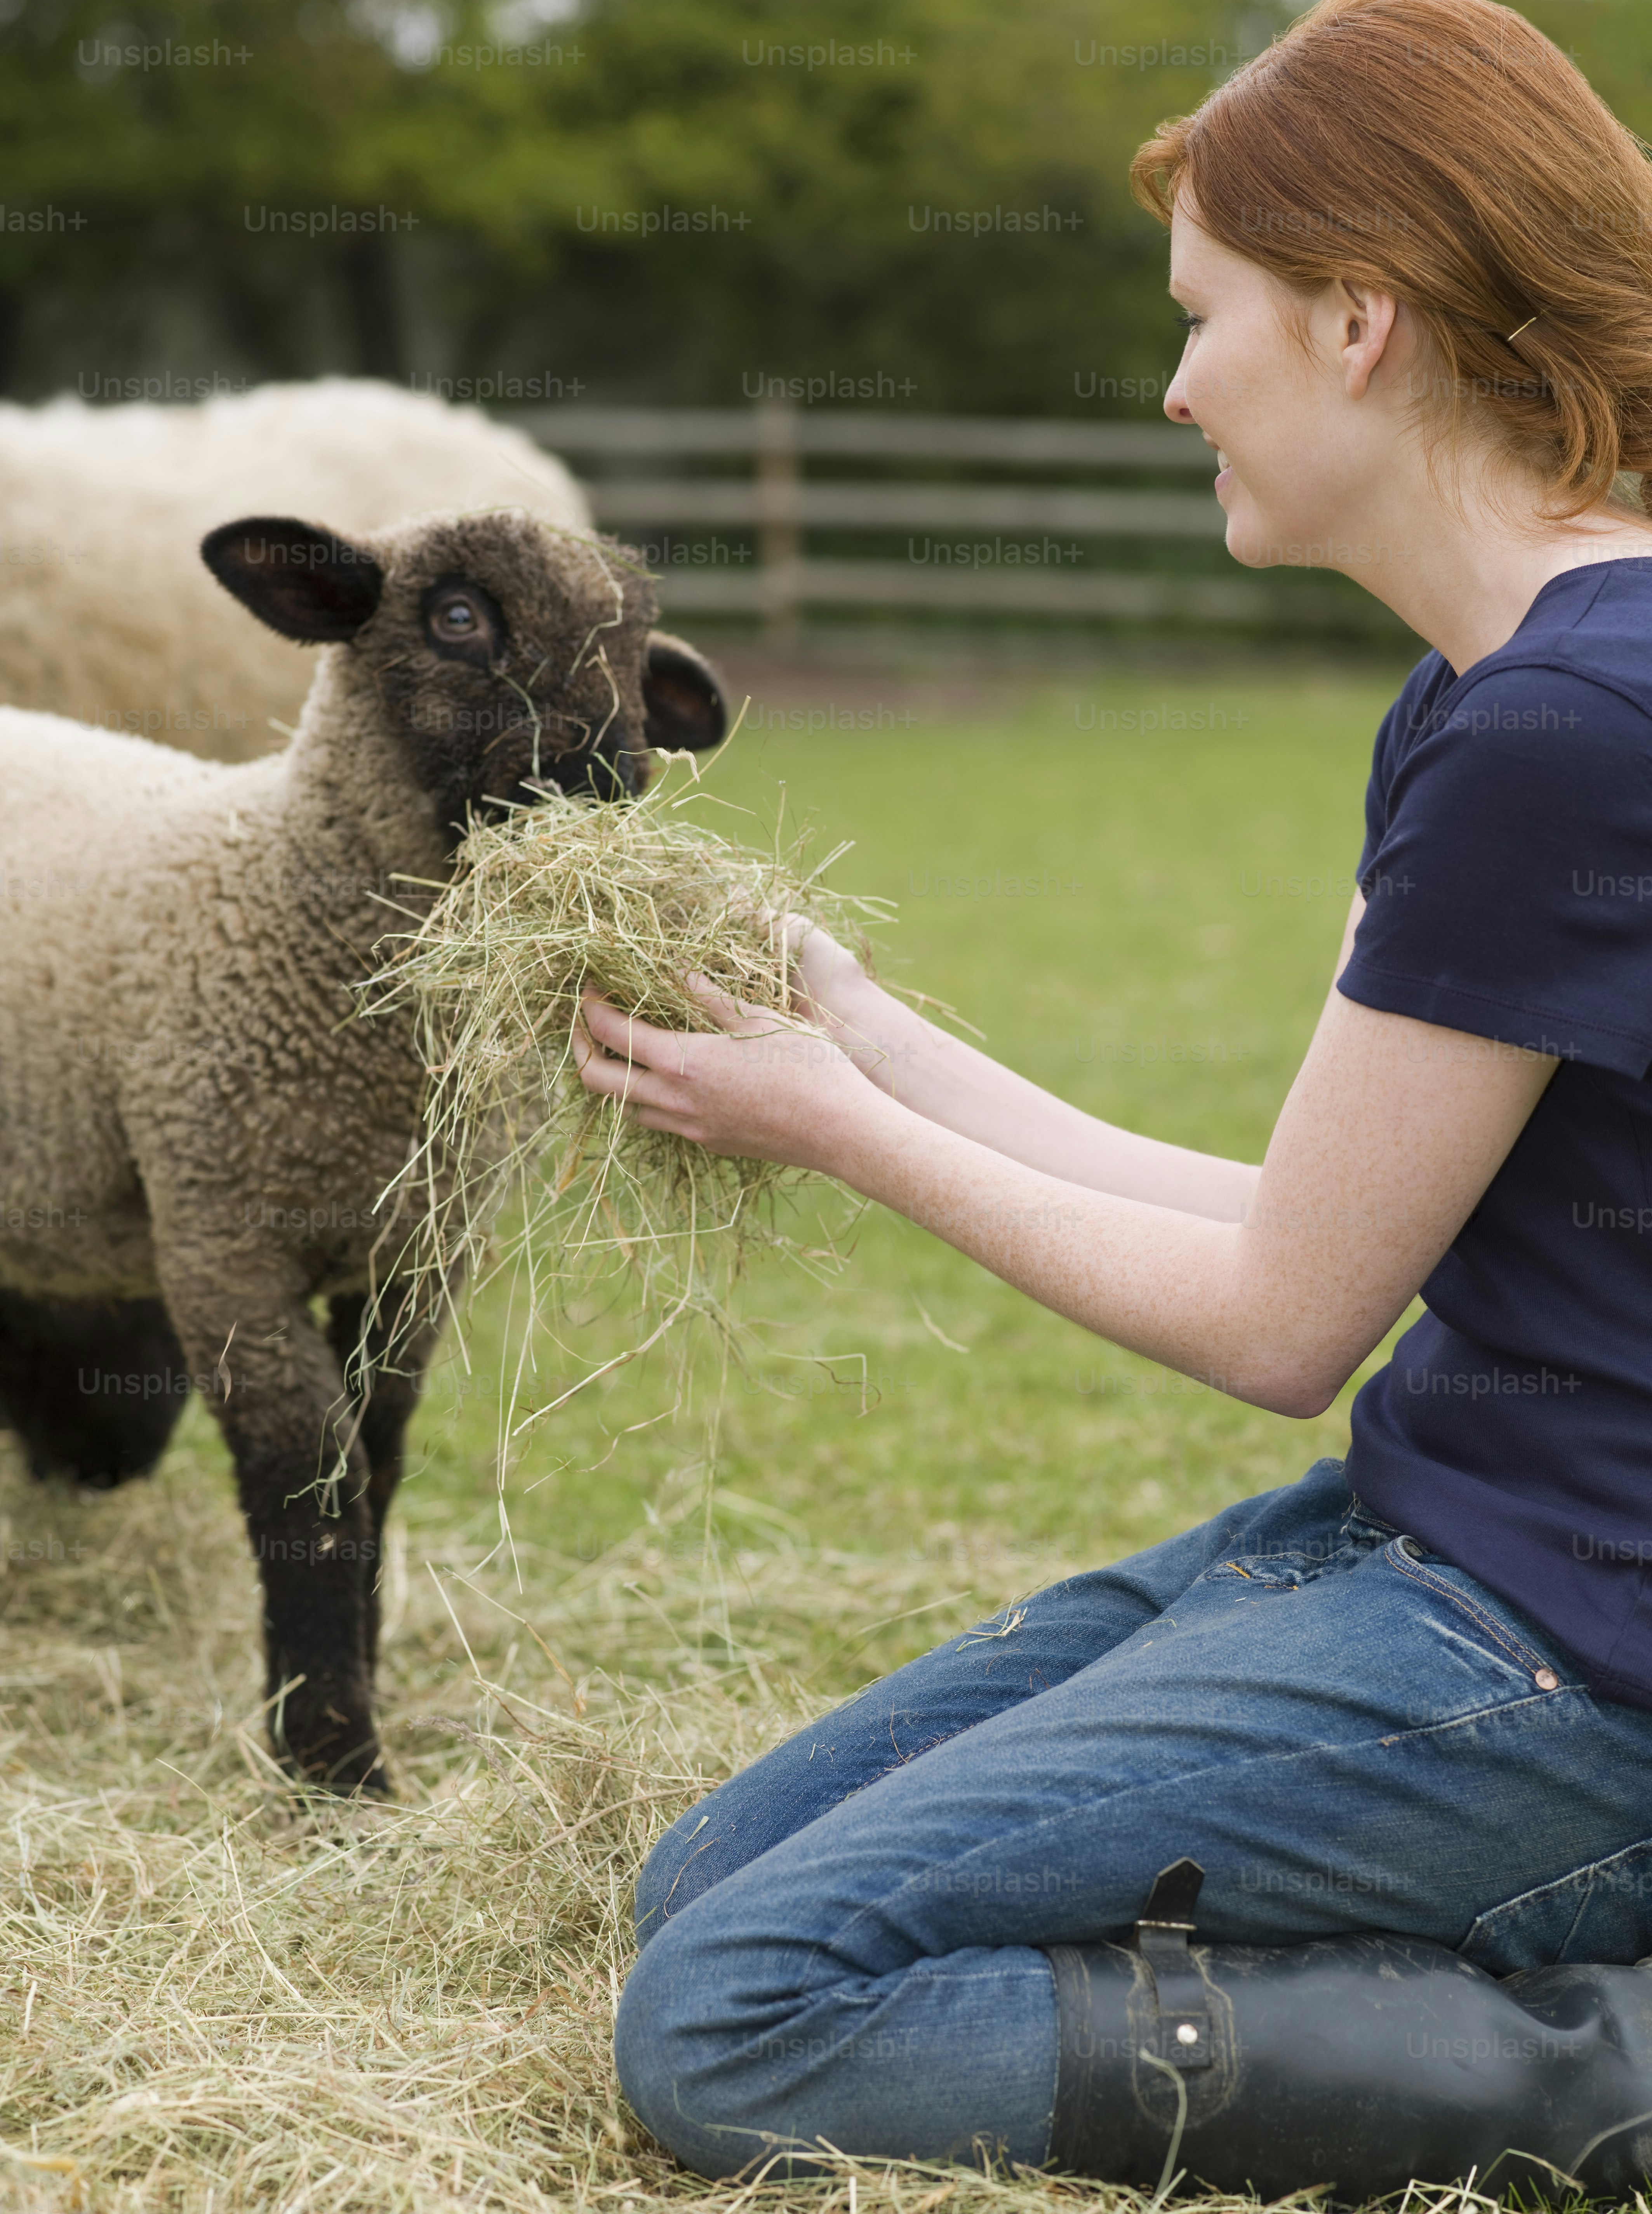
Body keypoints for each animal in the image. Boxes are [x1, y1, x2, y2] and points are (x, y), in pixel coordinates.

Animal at [0, 506, 726, 1793]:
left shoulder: (418, 1249)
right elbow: (309, 1481)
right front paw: (334, 1760)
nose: (607, 785)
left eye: (639, 654)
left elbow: (376, 1463)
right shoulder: (224, 1239)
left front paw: (354, 1703)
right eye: (457, 616)